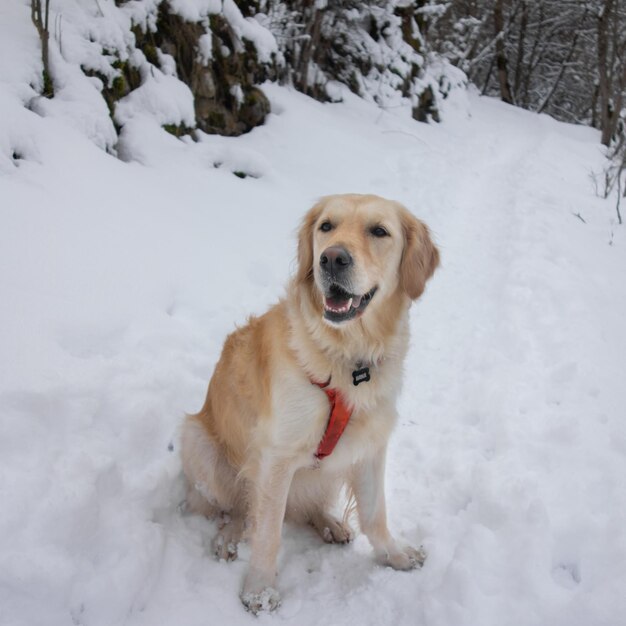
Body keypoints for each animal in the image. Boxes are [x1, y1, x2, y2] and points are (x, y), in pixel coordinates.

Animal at [178, 193, 436, 612]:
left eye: (379, 231)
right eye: (326, 226)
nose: (330, 259)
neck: (347, 358)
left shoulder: (371, 444)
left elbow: (376, 513)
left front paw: (394, 555)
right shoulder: (276, 456)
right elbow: (268, 532)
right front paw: (259, 591)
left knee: (304, 507)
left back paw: (329, 523)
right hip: (197, 442)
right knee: (237, 508)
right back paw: (229, 538)